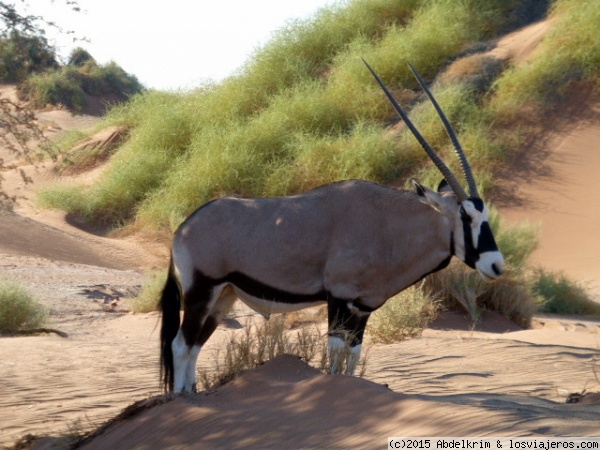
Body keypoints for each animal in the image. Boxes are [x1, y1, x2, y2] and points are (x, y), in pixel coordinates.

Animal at [158, 60, 502, 394]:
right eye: (466, 216)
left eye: (485, 214)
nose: (497, 265)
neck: (387, 225)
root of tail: (182, 229)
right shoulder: (339, 298)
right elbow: (336, 353)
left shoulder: (363, 307)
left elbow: (353, 354)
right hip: (201, 291)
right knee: (181, 344)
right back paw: (182, 399)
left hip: (223, 296)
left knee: (194, 346)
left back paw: (191, 394)